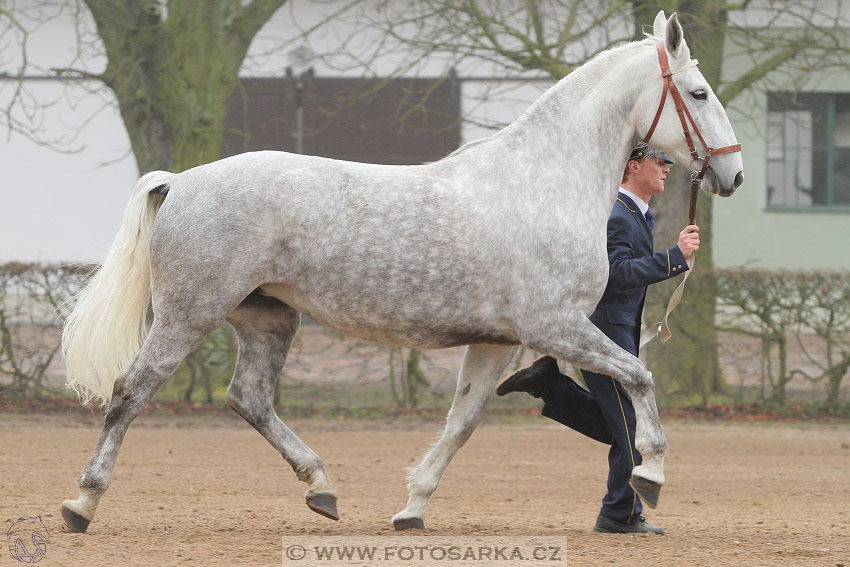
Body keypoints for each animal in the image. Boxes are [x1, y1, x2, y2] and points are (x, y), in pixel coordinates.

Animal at [59, 12, 740, 536]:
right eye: (699, 93)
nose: (732, 175)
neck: (542, 182)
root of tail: (180, 181)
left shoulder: (497, 342)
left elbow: (462, 424)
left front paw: (412, 506)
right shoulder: (554, 326)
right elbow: (639, 375)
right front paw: (652, 473)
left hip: (267, 316)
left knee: (248, 398)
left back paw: (322, 487)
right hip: (188, 312)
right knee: (131, 391)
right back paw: (82, 503)